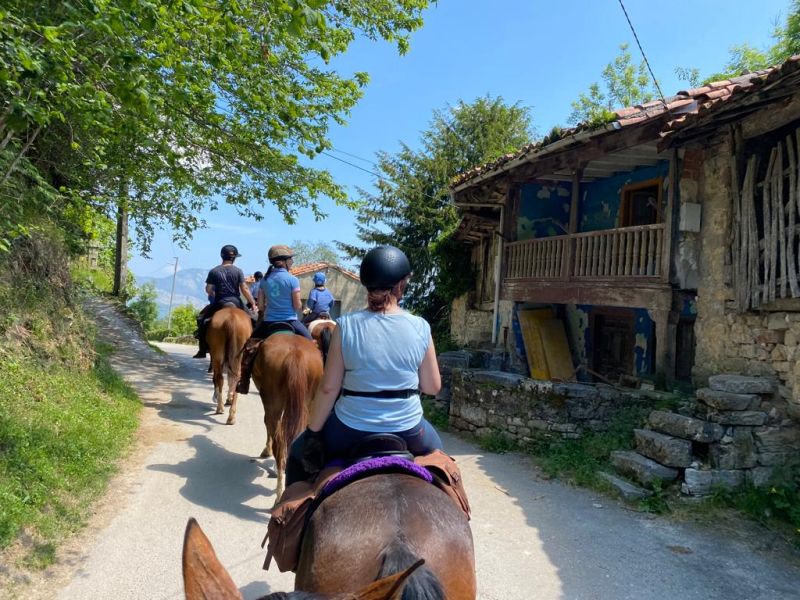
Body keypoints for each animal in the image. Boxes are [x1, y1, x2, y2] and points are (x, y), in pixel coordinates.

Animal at [252, 336, 324, 504]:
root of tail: (295, 354)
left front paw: (266, 451)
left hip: (273, 403)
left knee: (279, 441)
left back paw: (279, 493)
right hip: (307, 403)